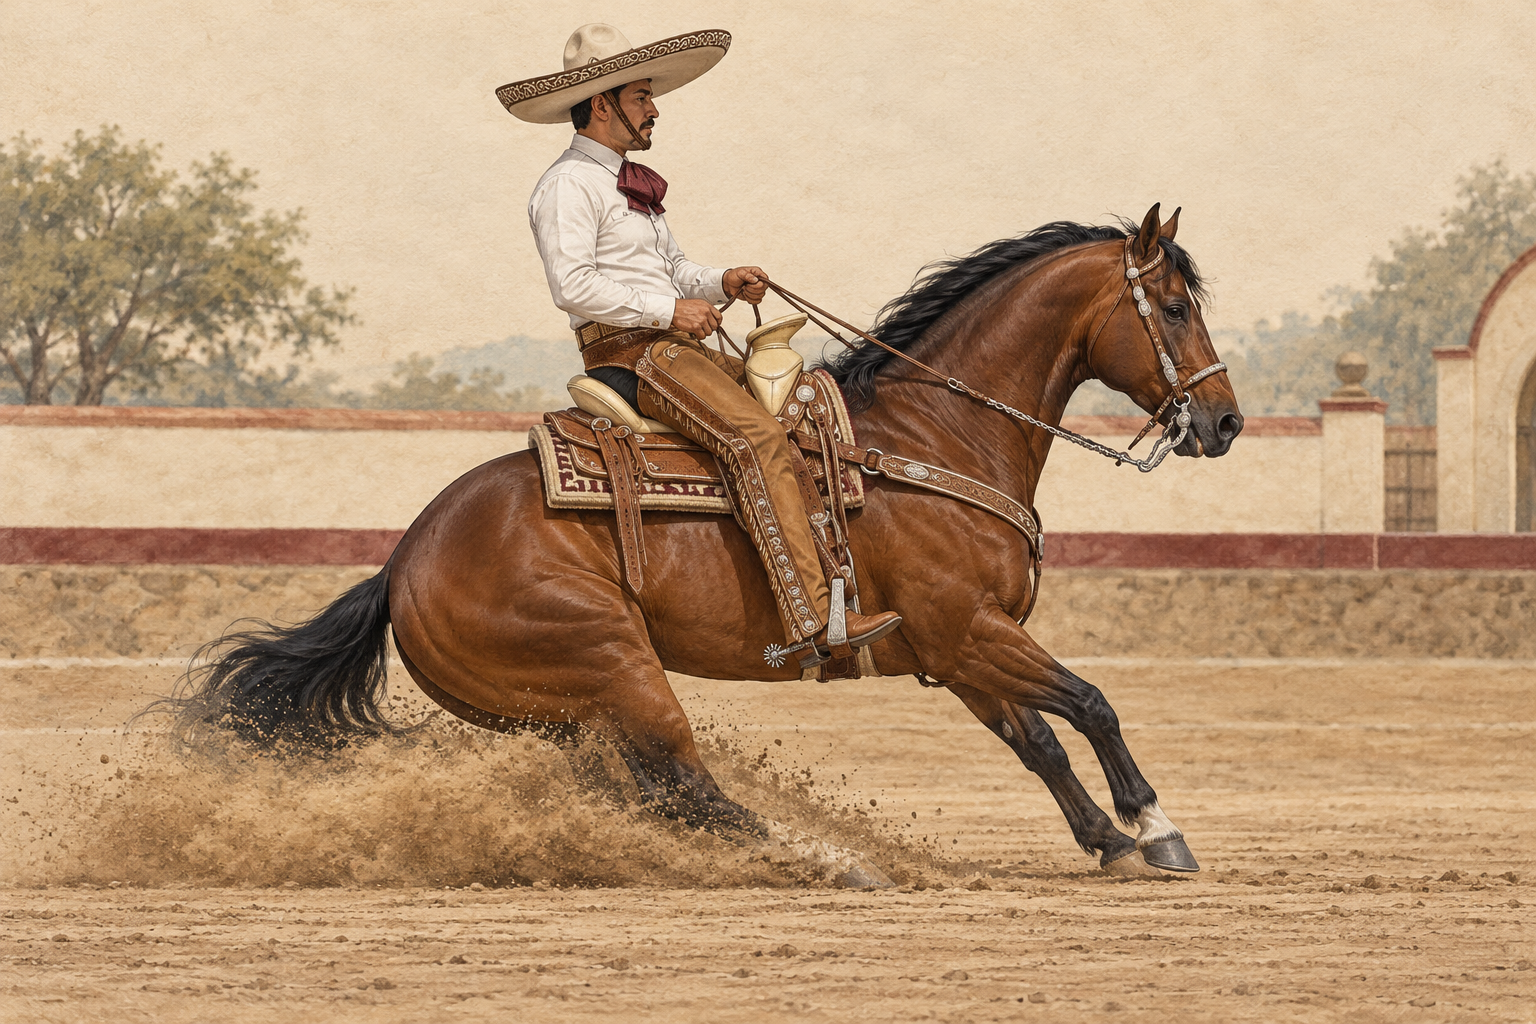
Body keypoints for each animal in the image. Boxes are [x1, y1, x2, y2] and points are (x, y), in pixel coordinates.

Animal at [163, 204, 1243, 886]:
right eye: (1174, 306)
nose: (1225, 422)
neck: (934, 436)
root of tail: (401, 564)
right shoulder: (968, 629)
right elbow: (1090, 704)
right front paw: (1158, 828)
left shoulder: (958, 651)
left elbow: (1039, 739)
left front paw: (1106, 839)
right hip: (617, 664)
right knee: (687, 785)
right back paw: (826, 860)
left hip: (566, 712)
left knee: (648, 795)